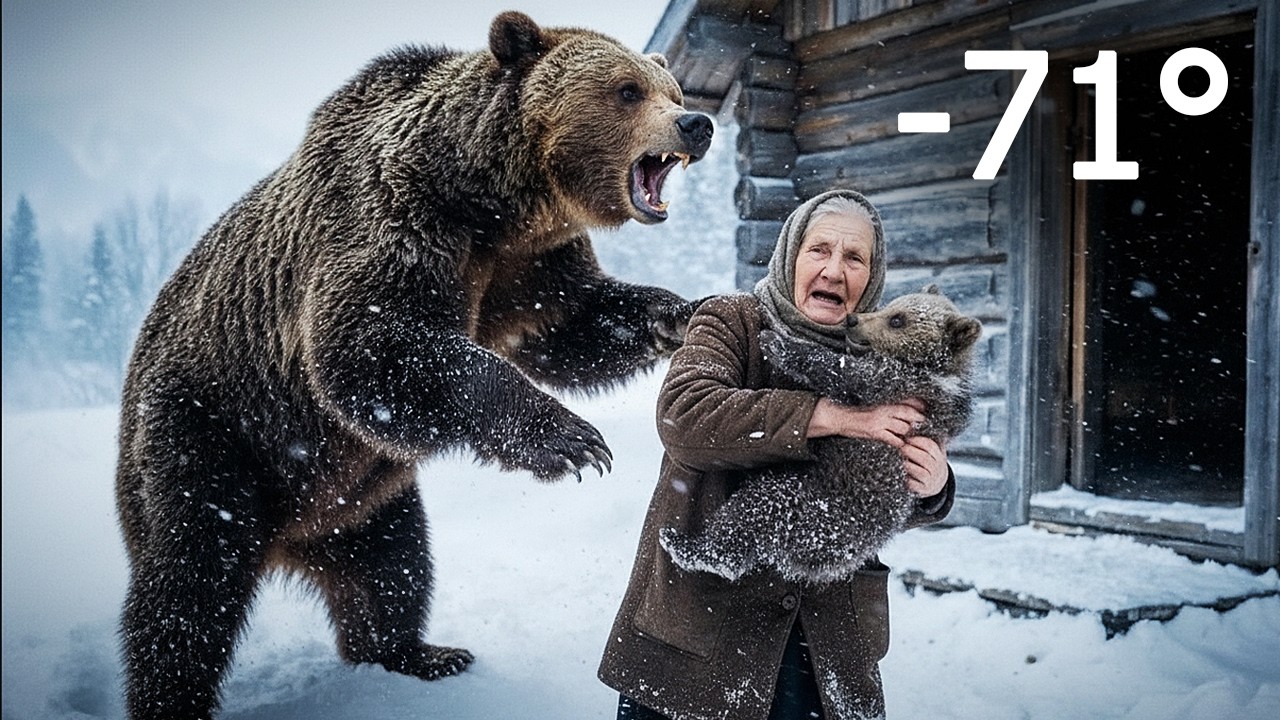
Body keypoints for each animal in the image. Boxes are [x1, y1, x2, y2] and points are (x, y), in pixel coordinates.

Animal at [114, 12, 713, 719]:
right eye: (626, 90)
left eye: (671, 89)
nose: (696, 124)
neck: (495, 206)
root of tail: (289, 537)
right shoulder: (397, 225)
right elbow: (368, 348)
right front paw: (573, 441)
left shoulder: (528, 270)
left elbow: (574, 325)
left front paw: (682, 314)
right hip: (212, 429)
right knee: (191, 578)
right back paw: (173, 692)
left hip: (359, 500)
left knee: (391, 565)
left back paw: (420, 652)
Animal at [659, 286, 981, 583]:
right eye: (892, 306)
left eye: (897, 320)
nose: (853, 319)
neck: (935, 370)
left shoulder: (902, 385)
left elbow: (843, 373)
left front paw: (778, 342)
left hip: (819, 515)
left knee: (754, 509)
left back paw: (687, 545)